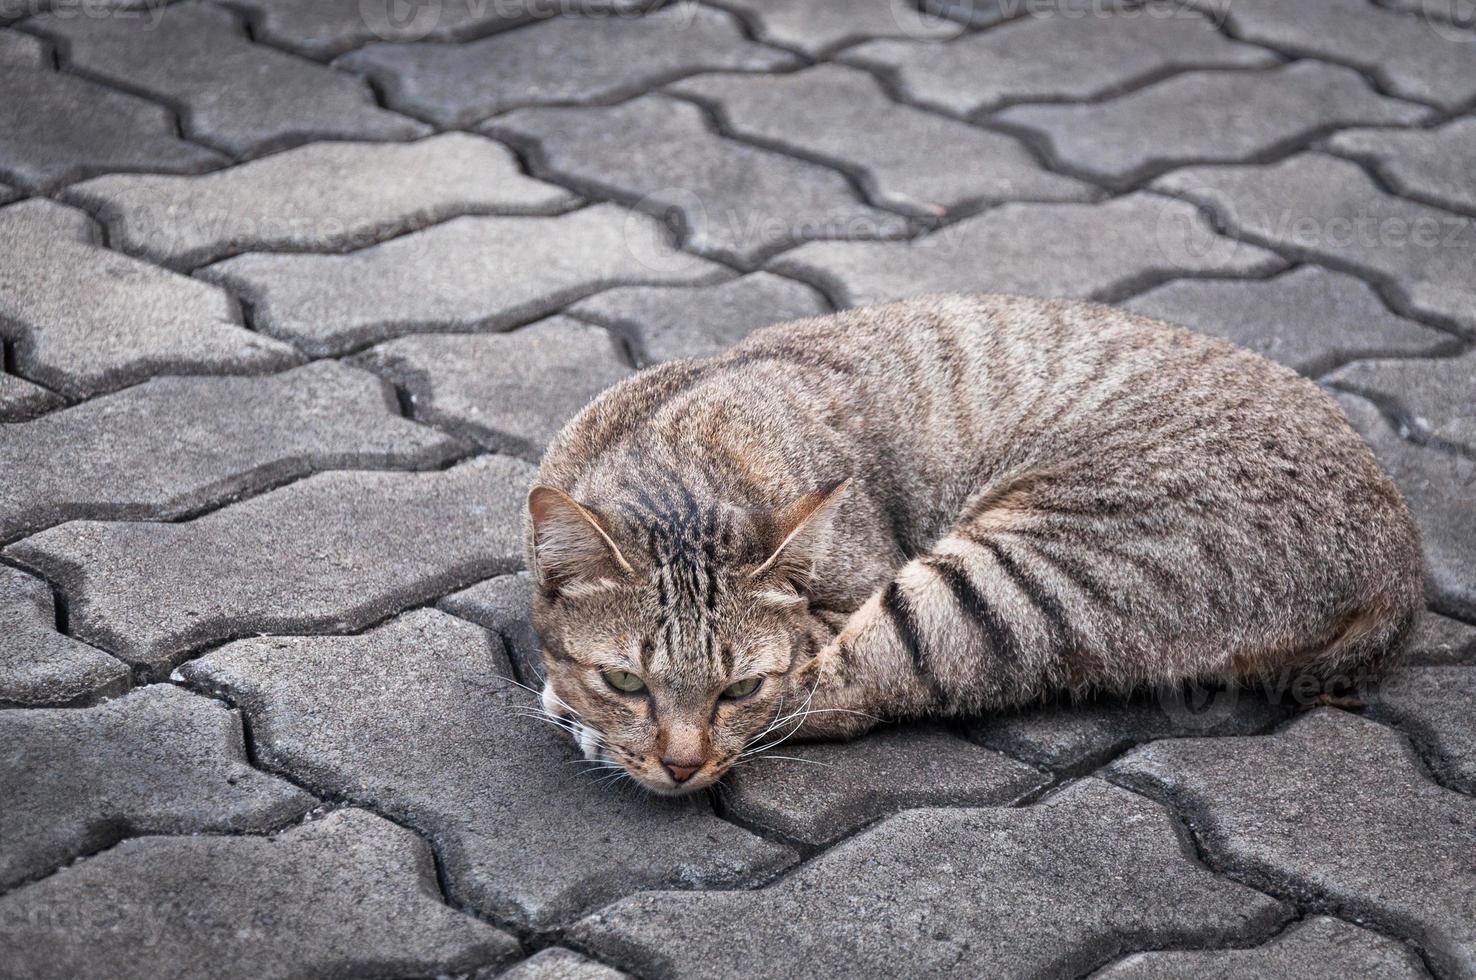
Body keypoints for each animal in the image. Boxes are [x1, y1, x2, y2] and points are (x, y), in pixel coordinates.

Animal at [525, 292, 1422, 796]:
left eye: (738, 687)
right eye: (625, 679)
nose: (681, 764)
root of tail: (1404, 566)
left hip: (1020, 570)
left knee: (846, 692)